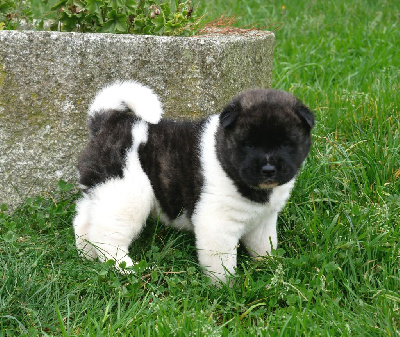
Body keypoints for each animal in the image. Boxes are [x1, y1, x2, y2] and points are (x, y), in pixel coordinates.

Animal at [73, 80, 314, 282]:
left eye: (285, 144)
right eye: (249, 145)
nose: (268, 169)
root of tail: (107, 121)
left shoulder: (263, 221)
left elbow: (265, 246)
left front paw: (273, 270)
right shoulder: (217, 224)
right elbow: (222, 263)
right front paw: (226, 288)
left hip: (103, 191)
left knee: (84, 221)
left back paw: (86, 256)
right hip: (125, 195)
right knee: (106, 236)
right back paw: (128, 268)